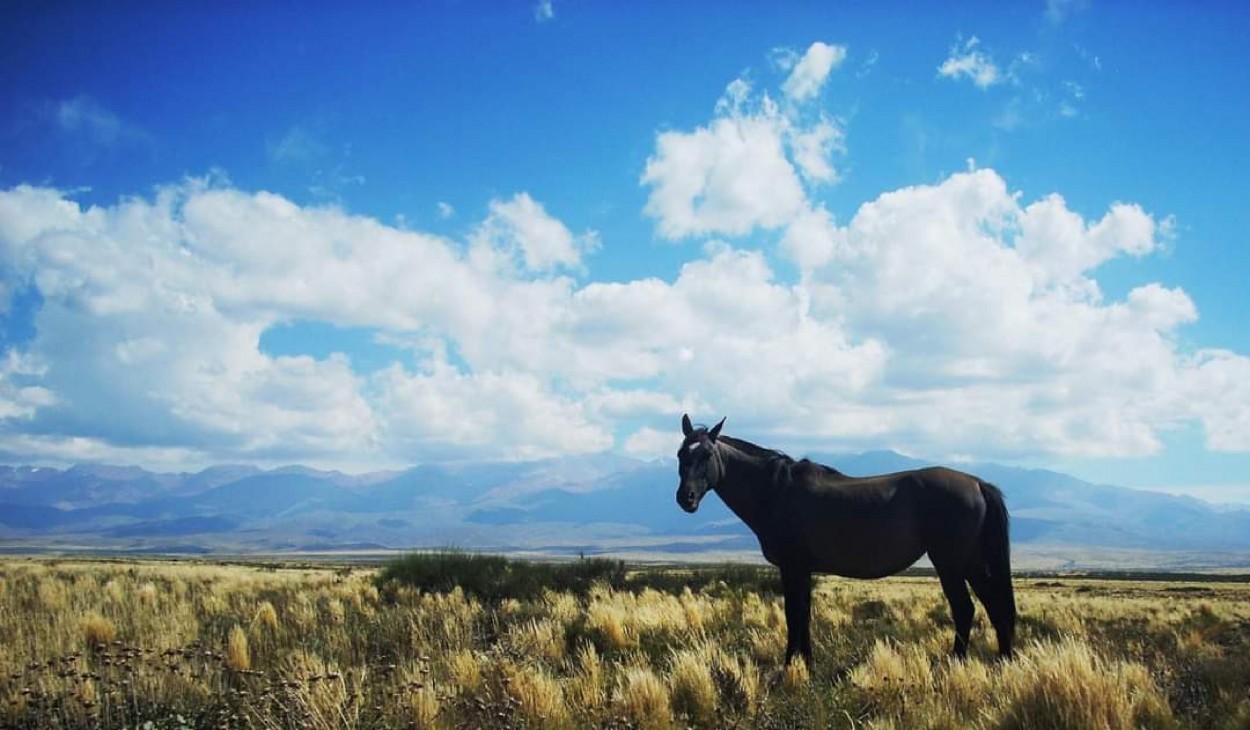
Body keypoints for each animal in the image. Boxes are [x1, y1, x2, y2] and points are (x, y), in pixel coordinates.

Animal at [675, 412, 1015, 665]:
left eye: (707, 454)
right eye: (680, 454)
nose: (685, 499)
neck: (777, 491)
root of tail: (977, 483)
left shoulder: (792, 566)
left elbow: (794, 614)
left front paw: (790, 666)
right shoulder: (802, 569)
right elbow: (803, 614)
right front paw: (806, 664)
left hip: (950, 563)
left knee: (965, 609)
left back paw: (955, 663)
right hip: (973, 563)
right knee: (996, 607)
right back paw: (1002, 662)